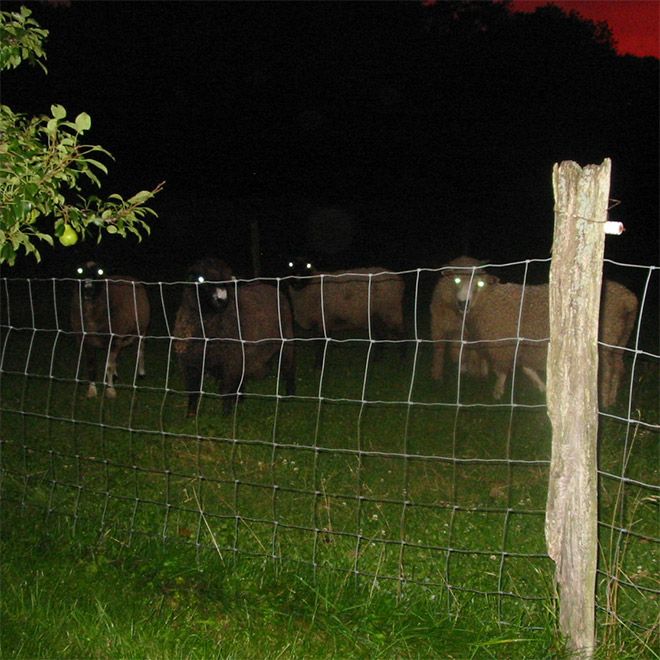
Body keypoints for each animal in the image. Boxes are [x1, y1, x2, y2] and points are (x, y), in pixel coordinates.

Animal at [71, 262, 151, 398]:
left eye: (100, 272)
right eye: (80, 271)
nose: (88, 289)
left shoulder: (114, 339)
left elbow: (108, 366)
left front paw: (110, 389)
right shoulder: (87, 340)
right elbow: (92, 366)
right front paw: (92, 390)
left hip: (141, 330)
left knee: (140, 349)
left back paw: (141, 372)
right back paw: (115, 374)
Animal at [173, 256, 296, 416]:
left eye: (227, 280)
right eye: (200, 279)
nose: (222, 299)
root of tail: (269, 286)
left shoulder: (231, 360)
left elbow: (226, 389)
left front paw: (226, 414)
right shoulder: (191, 363)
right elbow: (194, 391)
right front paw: (191, 415)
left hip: (286, 341)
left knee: (288, 367)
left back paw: (290, 395)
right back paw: (241, 399)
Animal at [454, 266, 640, 404]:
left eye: (479, 284)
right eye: (457, 281)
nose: (463, 303)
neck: (489, 300)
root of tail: (628, 299)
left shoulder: (504, 346)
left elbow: (502, 372)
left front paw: (497, 392)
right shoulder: (524, 346)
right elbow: (528, 369)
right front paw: (542, 387)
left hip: (606, 340)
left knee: (607, 371)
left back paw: (603, 400)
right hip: (620, 340)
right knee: (618, 368)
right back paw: (612, 400)